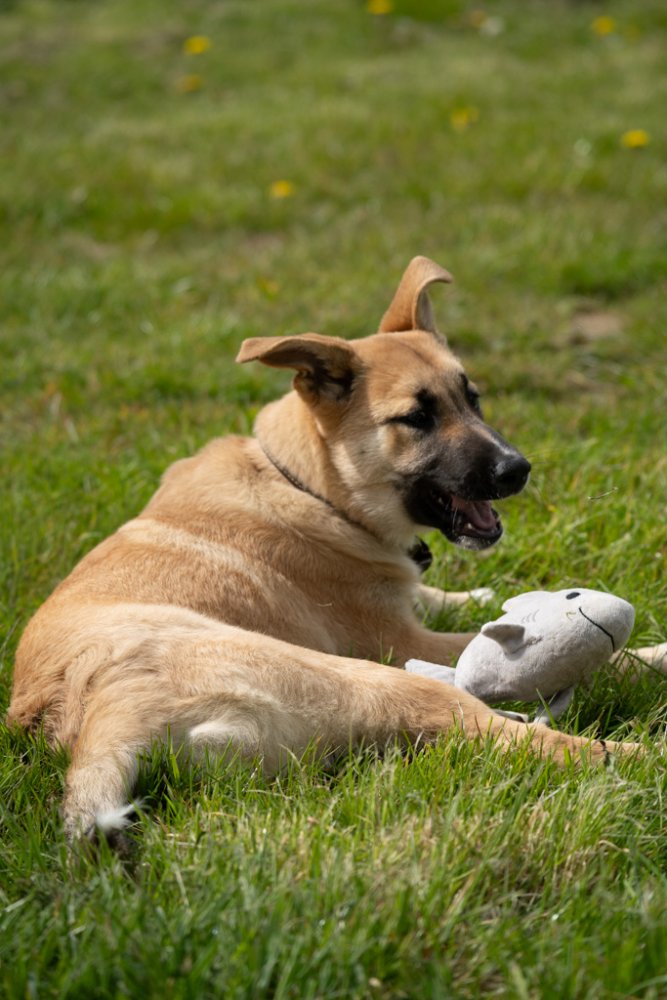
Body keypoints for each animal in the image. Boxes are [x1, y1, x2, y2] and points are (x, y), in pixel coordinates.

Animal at [6, 254, 640, 840]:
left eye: (474, 400)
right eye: (416, 417)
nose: (518, 470)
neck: (307, 483)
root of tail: (103, 718)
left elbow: (440, 592)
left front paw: (482, 593)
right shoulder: (399, 638)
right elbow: (605, 657)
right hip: (366, 676)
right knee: (509, 735)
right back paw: (634, 757)